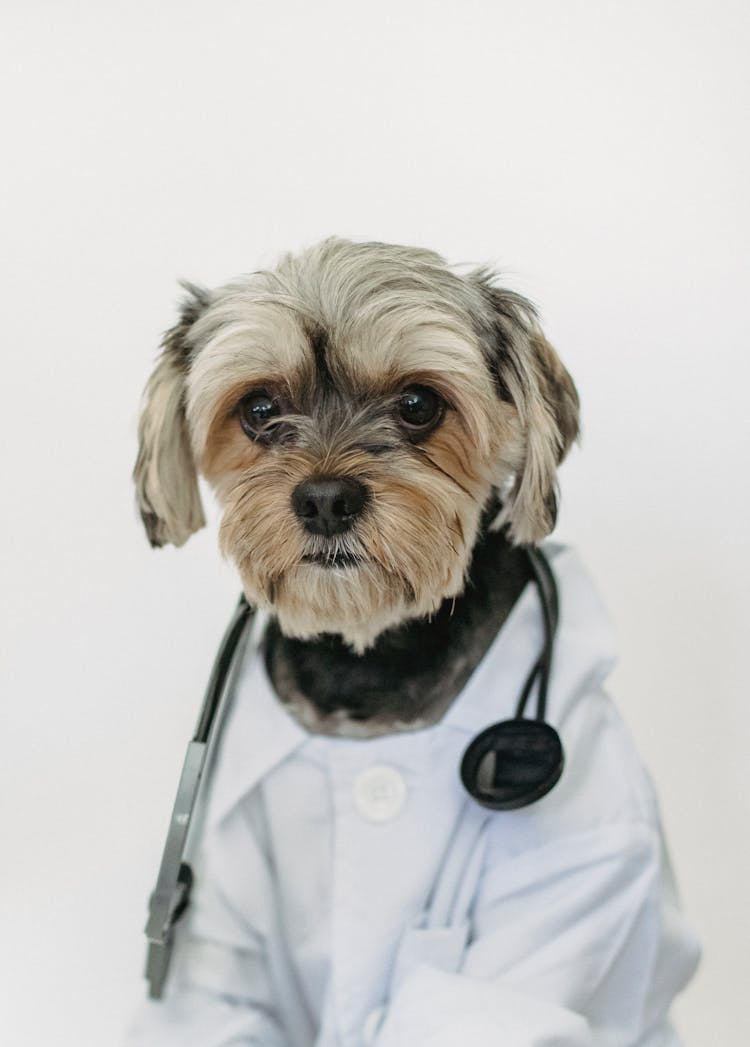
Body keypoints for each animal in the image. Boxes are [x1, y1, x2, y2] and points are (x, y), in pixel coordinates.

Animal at [127, 239, 695, 1047]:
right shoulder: (219, 925)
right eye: (258, 409)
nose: (325, 499)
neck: (367, 668)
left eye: (419, 405)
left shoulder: (581, 849)